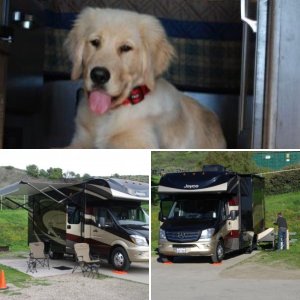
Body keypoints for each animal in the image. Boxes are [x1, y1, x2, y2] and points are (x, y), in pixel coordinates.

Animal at [65, 6, 225, 148]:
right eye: (95, 42)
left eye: (126, 48)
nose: (98, 75)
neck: (110, 114)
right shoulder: (80, 141)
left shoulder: (139, 143)